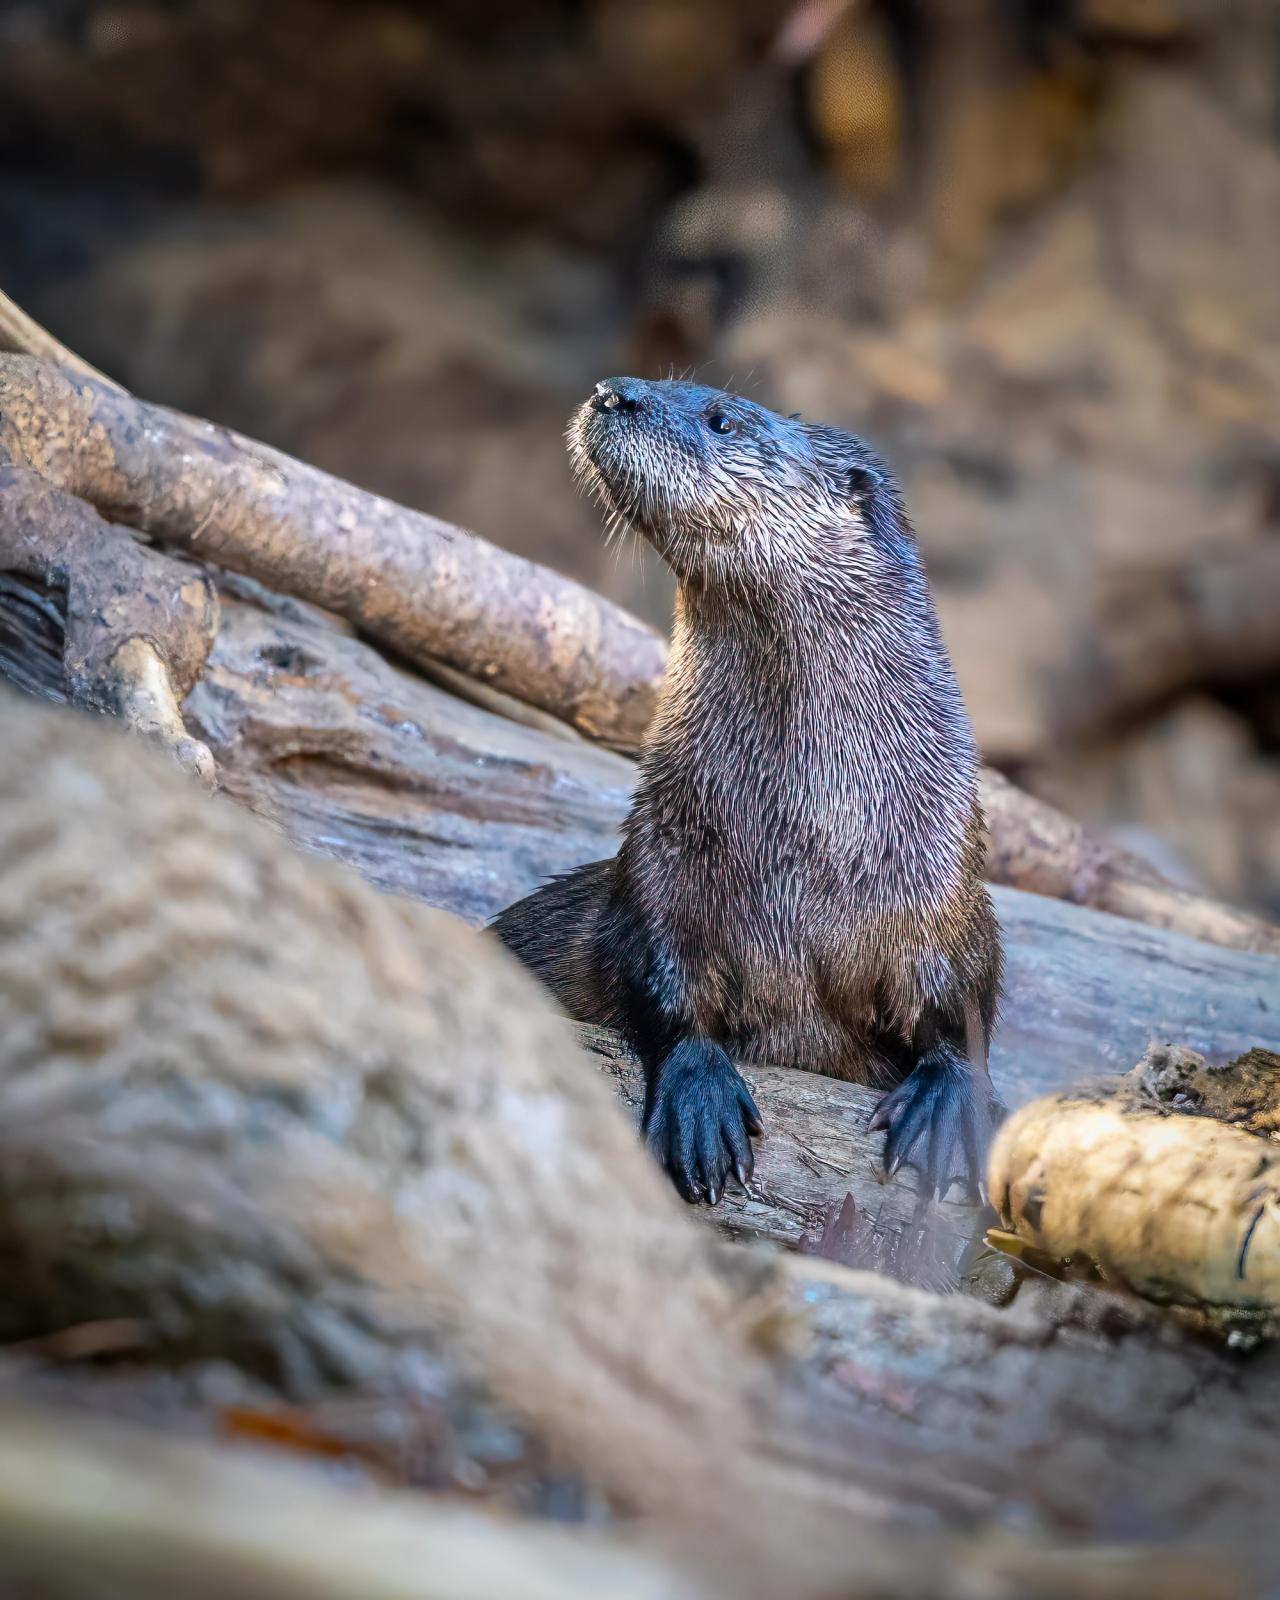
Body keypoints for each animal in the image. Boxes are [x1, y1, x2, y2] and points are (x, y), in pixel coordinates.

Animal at [493, 376, 1002, 1205]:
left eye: (721, 418)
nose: (613, 391)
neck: (810, 840)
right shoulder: (660, 859)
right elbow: (659, 975)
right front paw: (700, 1097)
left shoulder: (947, 886)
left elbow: (969, 1002)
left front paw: (947, 1102)